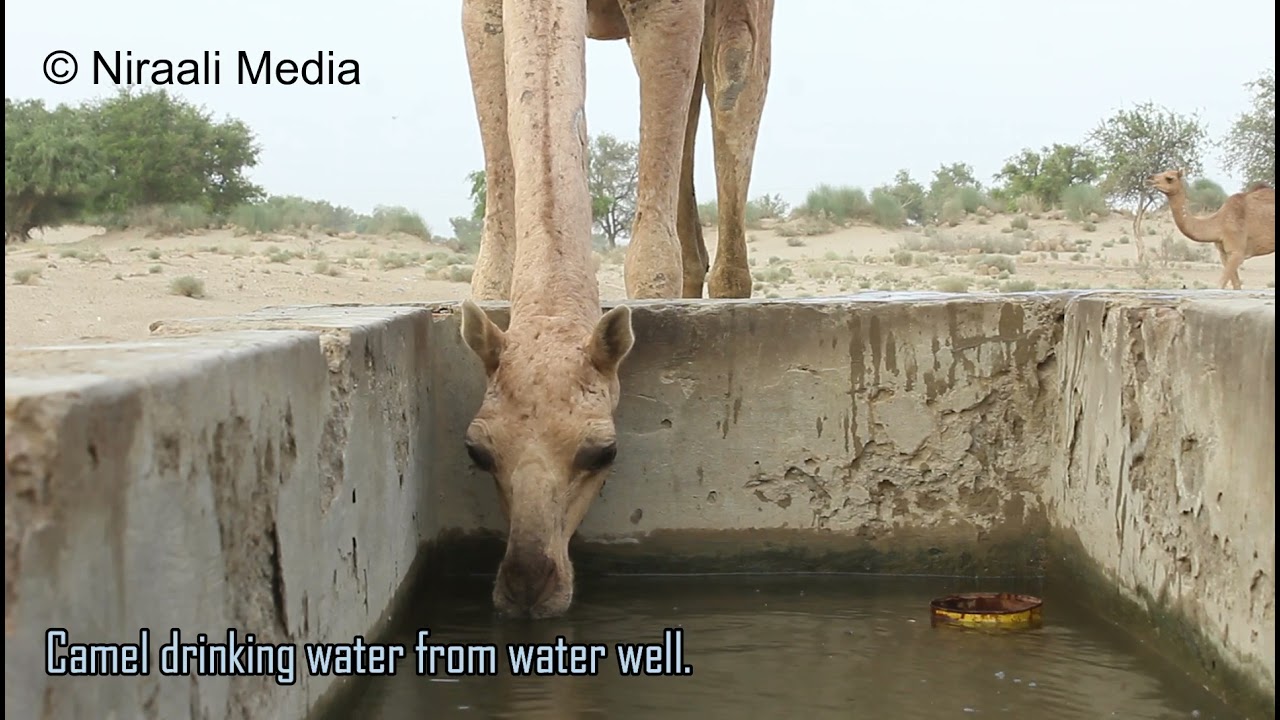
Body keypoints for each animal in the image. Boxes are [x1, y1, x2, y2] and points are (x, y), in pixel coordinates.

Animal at [1148, 169, 1276, 290]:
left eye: (1169, 178)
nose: (1150, 178)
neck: (1219, 224)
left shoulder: (1237, 252)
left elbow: (1220, 285)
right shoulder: (1224, 254)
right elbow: (1236, 286)